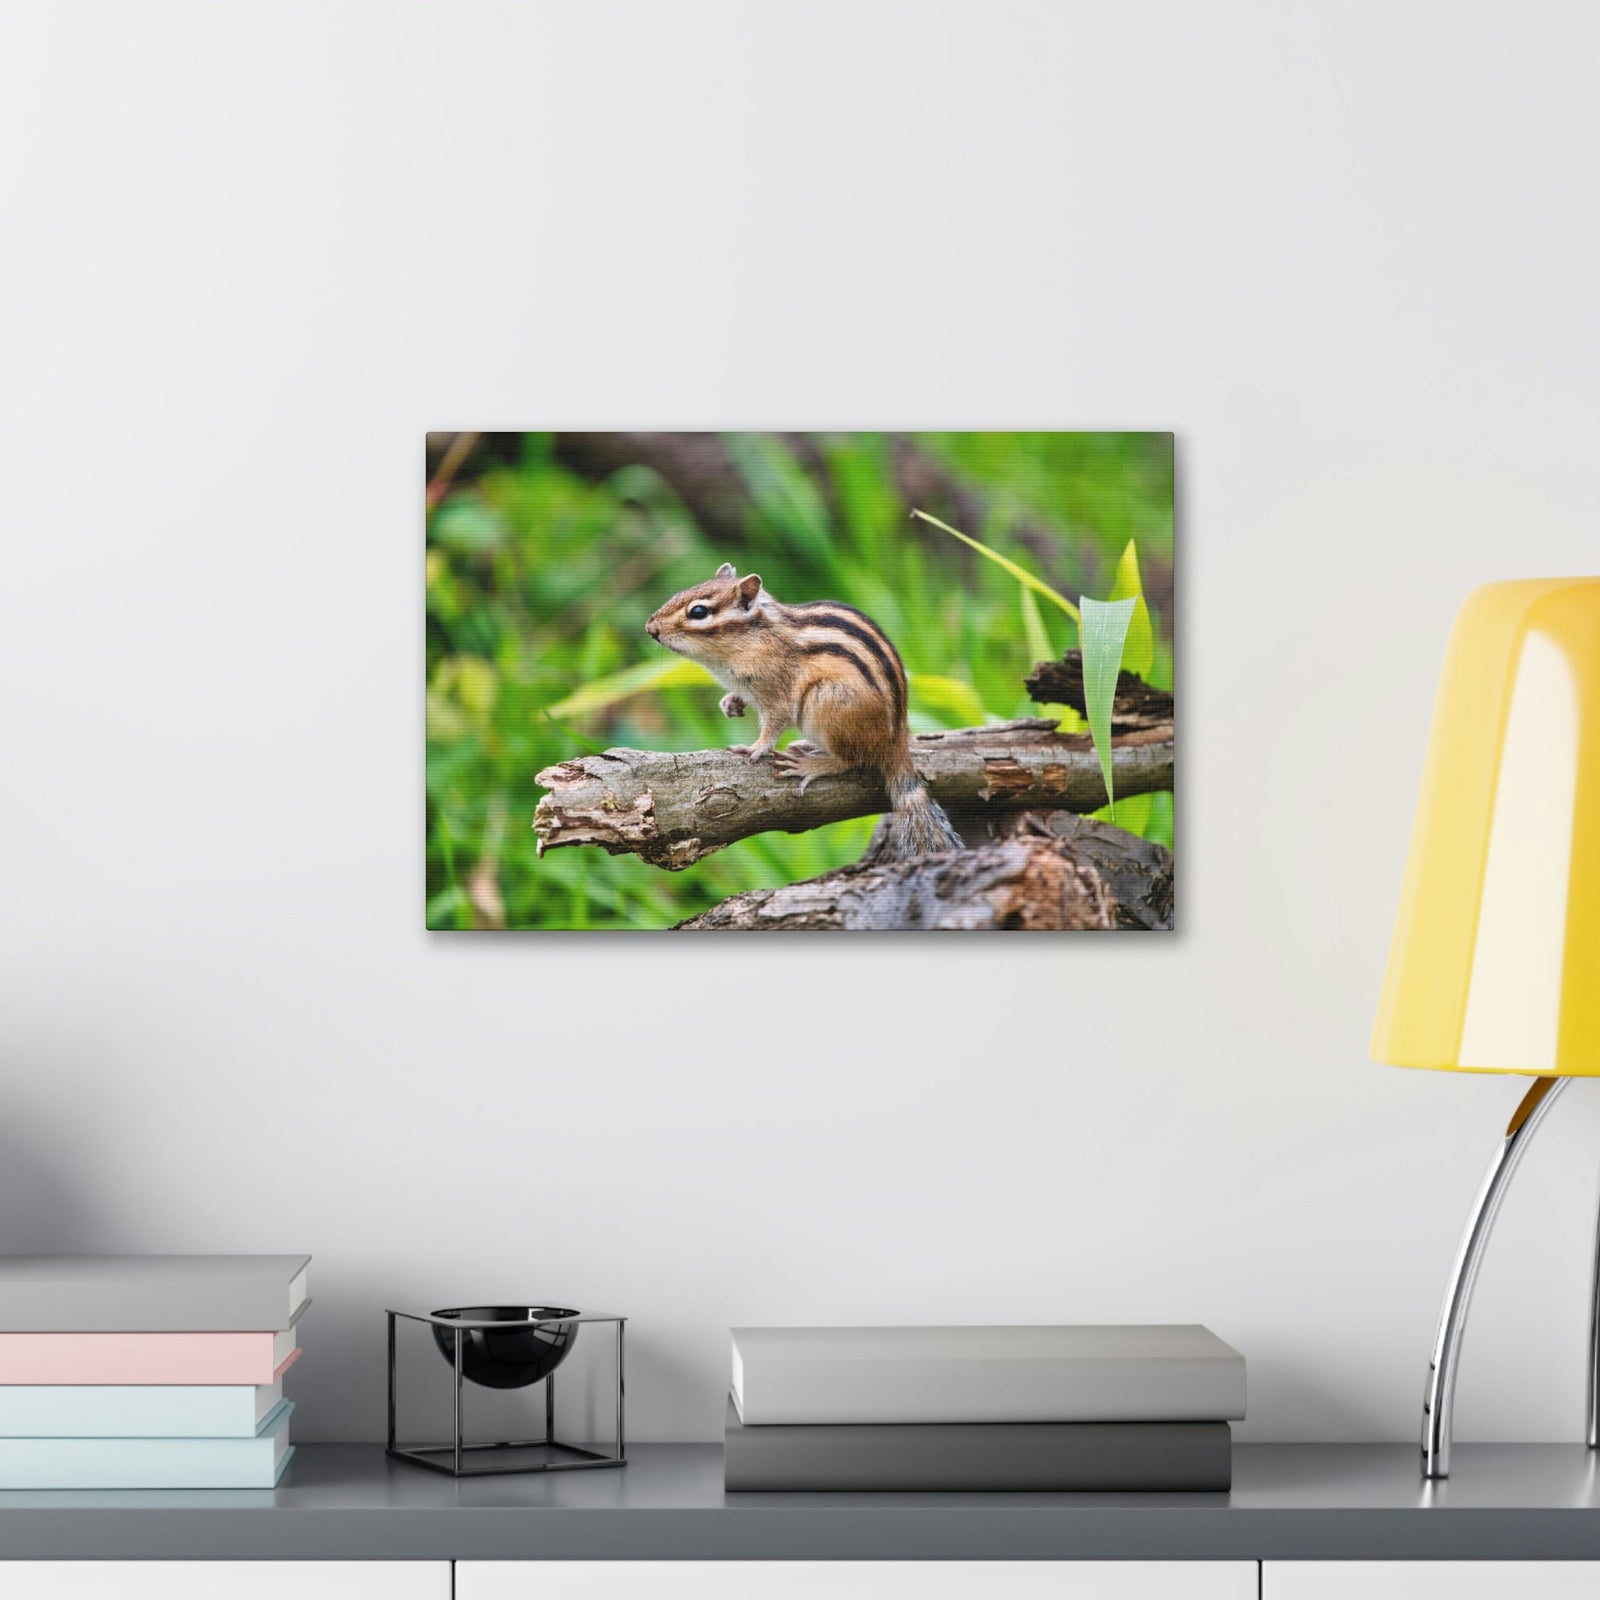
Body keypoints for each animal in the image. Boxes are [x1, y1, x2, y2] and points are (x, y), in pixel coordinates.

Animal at [645, 563, 963, 859]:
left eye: (698, 612)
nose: (651, 628)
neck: (752, 639)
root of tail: (896, 741)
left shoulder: (777, 692)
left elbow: (774, 723)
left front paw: (755, 748)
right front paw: (730, 703)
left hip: (825, 701)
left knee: (851, 761)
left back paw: (810, 765)